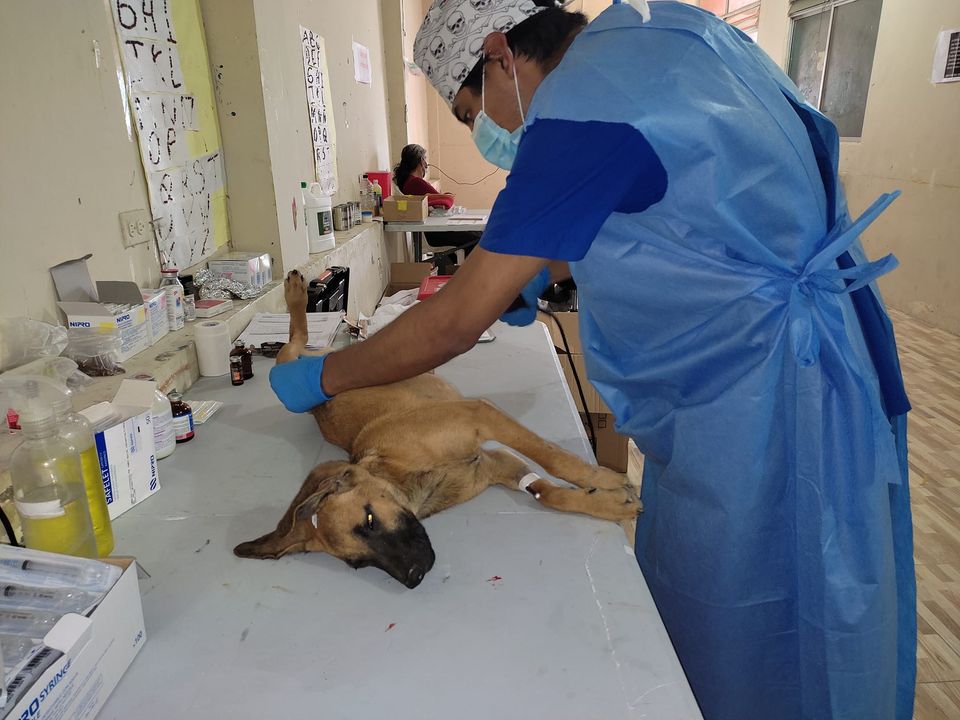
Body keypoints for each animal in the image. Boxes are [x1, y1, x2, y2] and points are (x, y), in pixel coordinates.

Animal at [234, 271, 641, 588]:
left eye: (369, 521)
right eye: (357, 563)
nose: (413, 577)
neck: (410, 474)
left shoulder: (482, 416)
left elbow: (553, 459)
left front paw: (602, 479)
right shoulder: (496, 462)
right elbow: (546, 493)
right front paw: (605, 503)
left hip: (293, 361)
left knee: (297, 339)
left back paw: (297, 293)